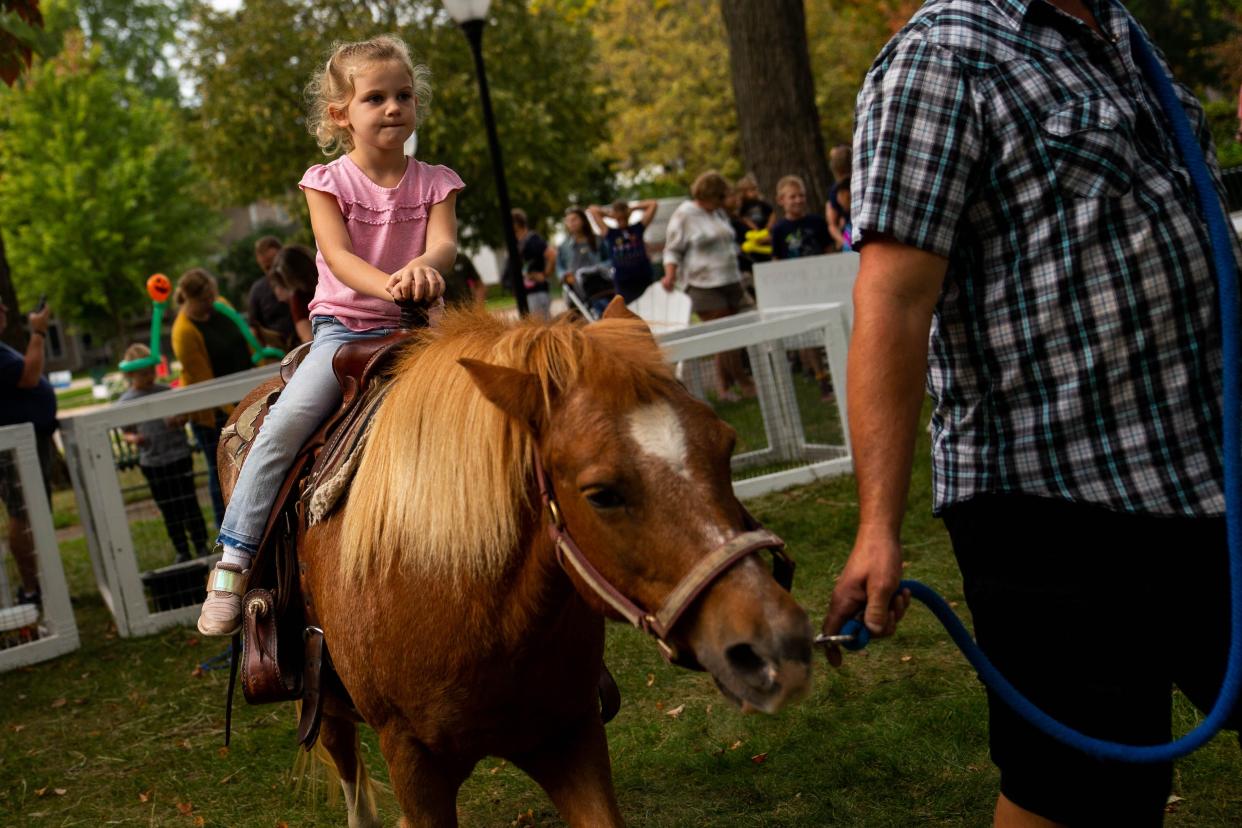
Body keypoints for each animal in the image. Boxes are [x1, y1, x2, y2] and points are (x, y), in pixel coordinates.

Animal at [226, 301, 814, 824]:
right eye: (601, 494)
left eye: (725, 445)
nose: (774, 643)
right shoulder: (413, 764)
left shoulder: (570, 734)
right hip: (321, 700)